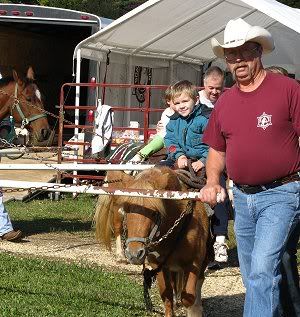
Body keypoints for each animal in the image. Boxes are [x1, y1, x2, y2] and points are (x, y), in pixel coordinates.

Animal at [95, 167, 210, 314]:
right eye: (127, 210)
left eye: (155, 212)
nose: (134, 254)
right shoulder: (158, 265)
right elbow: (167, 297)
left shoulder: (194, 263)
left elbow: (189, 298)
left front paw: (195, 309)